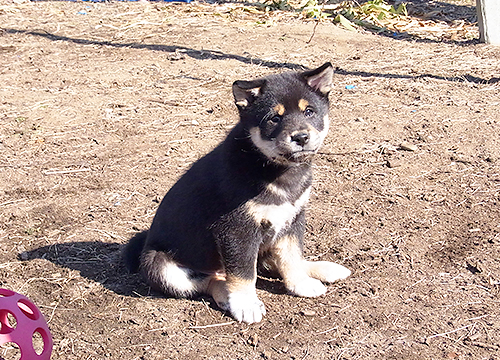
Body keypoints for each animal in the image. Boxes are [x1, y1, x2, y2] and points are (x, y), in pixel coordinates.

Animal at [124, 62, 350, 324]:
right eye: (274, 118)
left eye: (309, 112)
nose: (301, 137)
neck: (272, 168)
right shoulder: (236, 229)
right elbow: (243, 273)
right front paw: (245, 304)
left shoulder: (292, 218)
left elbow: (292, 257)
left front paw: (301, 285)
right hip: (161, 266)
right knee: (211, 280)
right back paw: (226, 296)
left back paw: (325, 269)